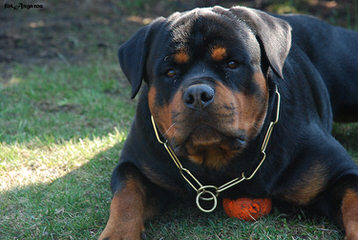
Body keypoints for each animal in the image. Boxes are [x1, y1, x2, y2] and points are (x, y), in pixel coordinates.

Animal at [98, 5, 358, 240]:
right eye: (170, 72)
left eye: (232, 63)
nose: (198, 94)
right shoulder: (135, 164)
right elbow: (126, 196)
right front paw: (118, 234)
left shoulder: (339, 170)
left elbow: (353, 202)